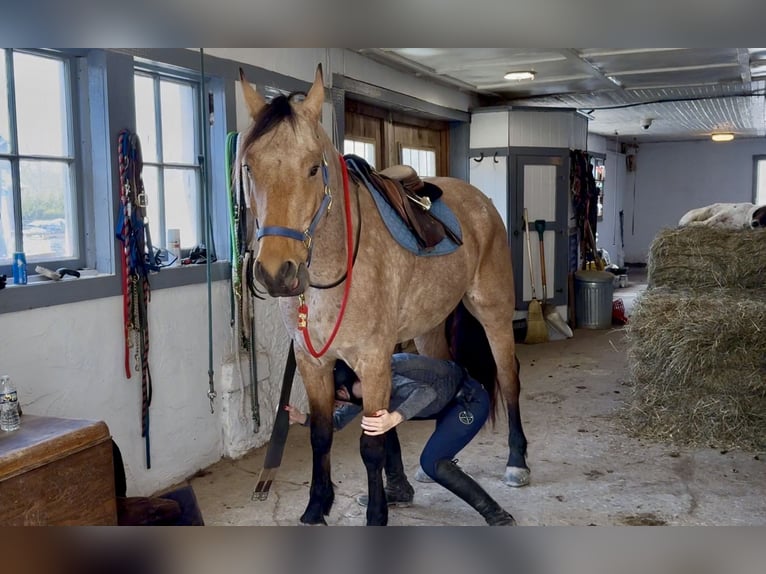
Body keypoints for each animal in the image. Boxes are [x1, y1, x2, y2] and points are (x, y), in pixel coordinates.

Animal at [237, 64, 529, 526]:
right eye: (249, 167)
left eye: (312, 168)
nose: (277, 273)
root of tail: (480, 201)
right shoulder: (313, 364)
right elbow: (322, 435)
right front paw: (317, 507)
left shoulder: (373, 360)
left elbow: (371, 445)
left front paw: (377, 513)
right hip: (428, 330)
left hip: (494, 312)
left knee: (509, 377)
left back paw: (516, 461)